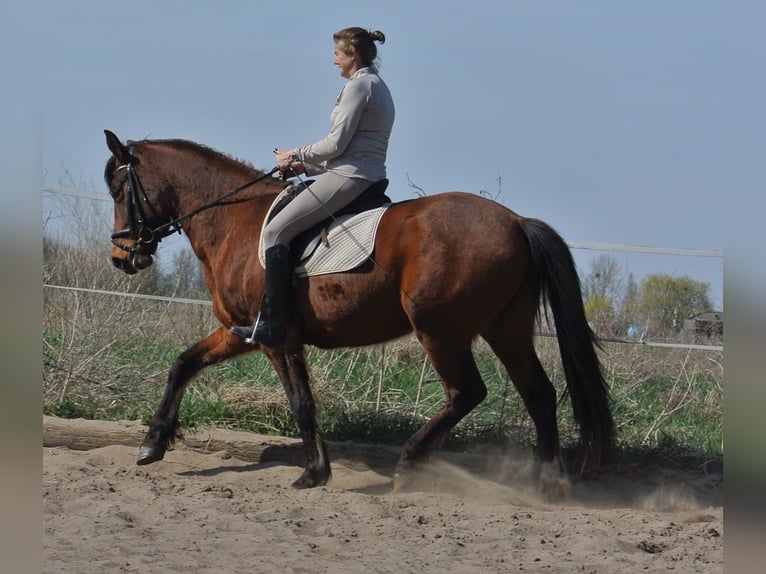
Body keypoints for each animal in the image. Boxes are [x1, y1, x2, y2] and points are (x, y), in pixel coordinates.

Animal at [103, 129, 614, 501]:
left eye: (119, 189)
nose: (121, 256)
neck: (234, 222)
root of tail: (518, 222)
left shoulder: (275, 338)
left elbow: (301, 402)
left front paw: (314, 473)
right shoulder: (239, 330)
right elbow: (183, 364)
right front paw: (151, 444)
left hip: (440, 330)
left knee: (467, 392)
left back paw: (409, 464)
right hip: (505, 328)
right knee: (539, 395)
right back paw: (547, 484)